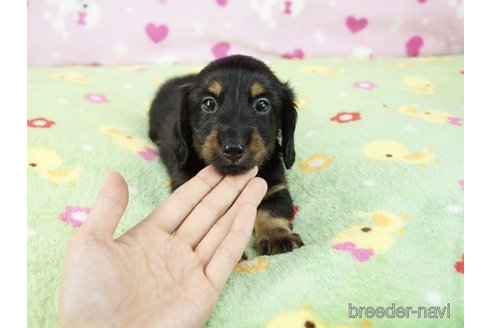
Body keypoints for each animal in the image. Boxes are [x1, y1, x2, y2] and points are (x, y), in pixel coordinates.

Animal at [149, 53, 304, 255]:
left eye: (262, 105)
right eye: (209, 103)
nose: (233, 150)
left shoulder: (275, 187)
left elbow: (274, 209)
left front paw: (277, 236)